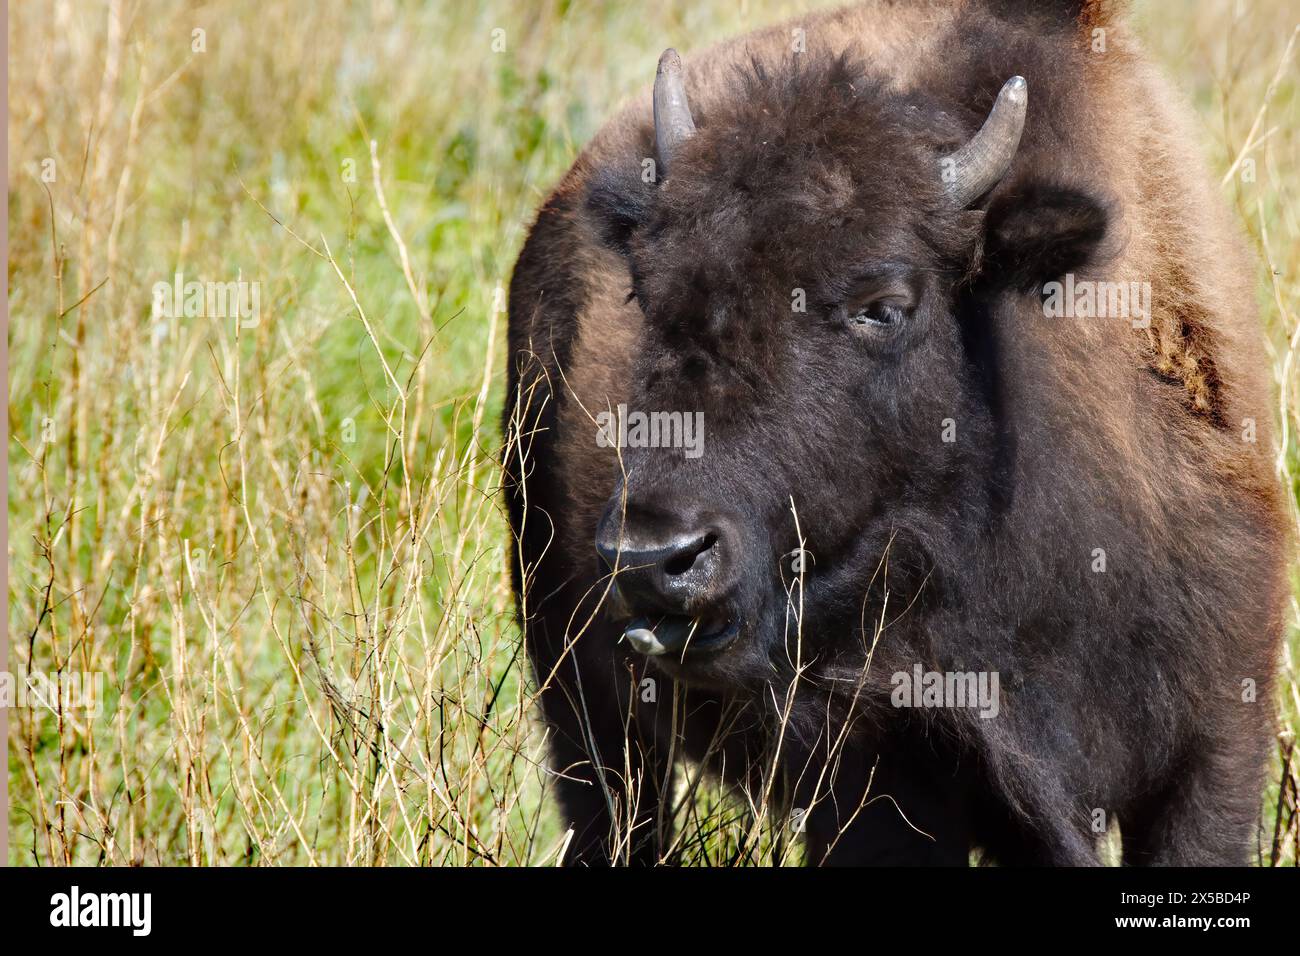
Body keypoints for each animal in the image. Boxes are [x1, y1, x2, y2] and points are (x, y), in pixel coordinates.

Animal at [501, 0, 1284, 868]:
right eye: (643, 291)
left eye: (882, 305)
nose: (651, 554)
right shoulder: (880, 772)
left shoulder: (1214, 747)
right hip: (579, 693)